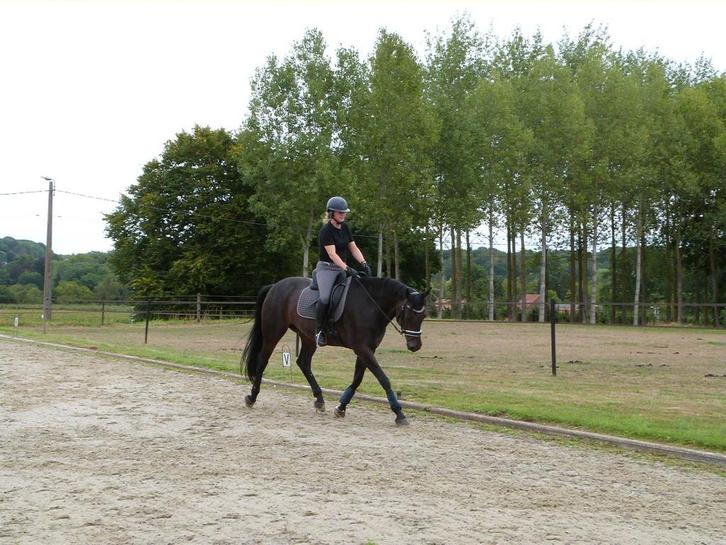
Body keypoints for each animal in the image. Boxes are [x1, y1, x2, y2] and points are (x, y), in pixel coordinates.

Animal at [241, 275, 428, 425]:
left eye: (423, 316)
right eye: (410, 314)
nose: (415, 346)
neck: (371, 305)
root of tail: (275, 286)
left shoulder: (367, 349)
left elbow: (357, 379)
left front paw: (341, 407)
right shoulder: (362, 348)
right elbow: (383, 379)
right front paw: (399, 413)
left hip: (308, 337)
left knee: (303, 363)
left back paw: (319, 400)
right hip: (273, 332)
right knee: (263, 360)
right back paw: (252, 397)